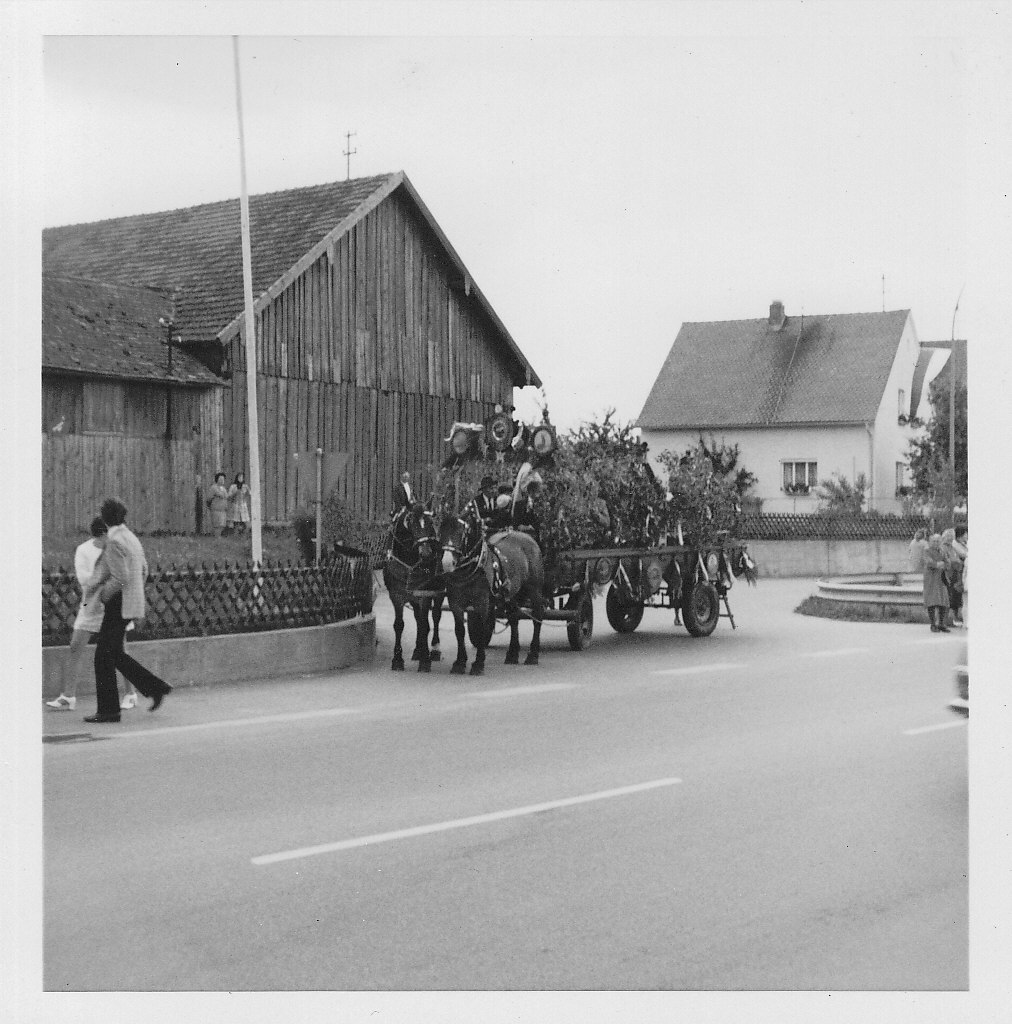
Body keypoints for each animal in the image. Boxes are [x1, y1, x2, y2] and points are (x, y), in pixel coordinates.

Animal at [378, 501, 442, 671]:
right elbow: (399, 625)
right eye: (411, 522)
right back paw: (418, 650)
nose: (426, 554)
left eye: (430, 522)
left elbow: (426, 625)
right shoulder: (396, 595)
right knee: (418, 617)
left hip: (437, 593)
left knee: (435, 616)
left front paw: (425, 660)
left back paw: (434, 649)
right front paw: (397, 659)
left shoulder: (425, 595)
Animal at [436, 505, 544, 679]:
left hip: (534, 590)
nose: (446, 562)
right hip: (511, 595)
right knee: (514, 618)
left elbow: (481, 631)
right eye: (441, 531)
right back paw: (512, 654)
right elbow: (459, 631)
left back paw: (533, 654)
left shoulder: (482, 603)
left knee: (537, 617)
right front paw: (459, 663)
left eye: (461, 532)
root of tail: (528, 537)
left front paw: (478, 664)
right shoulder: (455, 603)